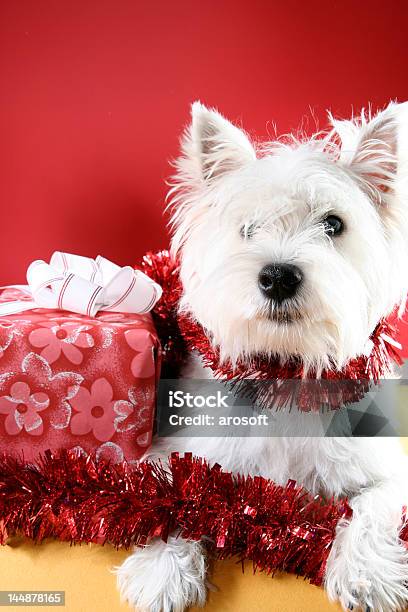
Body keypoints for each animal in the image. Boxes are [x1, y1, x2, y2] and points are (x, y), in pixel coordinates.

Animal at [115, 103, 408, 608]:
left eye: (334, 224)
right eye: (247, 228)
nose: (278, 276)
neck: (284, 376)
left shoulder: (386, 467)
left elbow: (371, 505)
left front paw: (364, 574)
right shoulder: (182, 451)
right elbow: (171, 493)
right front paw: (162, 570)